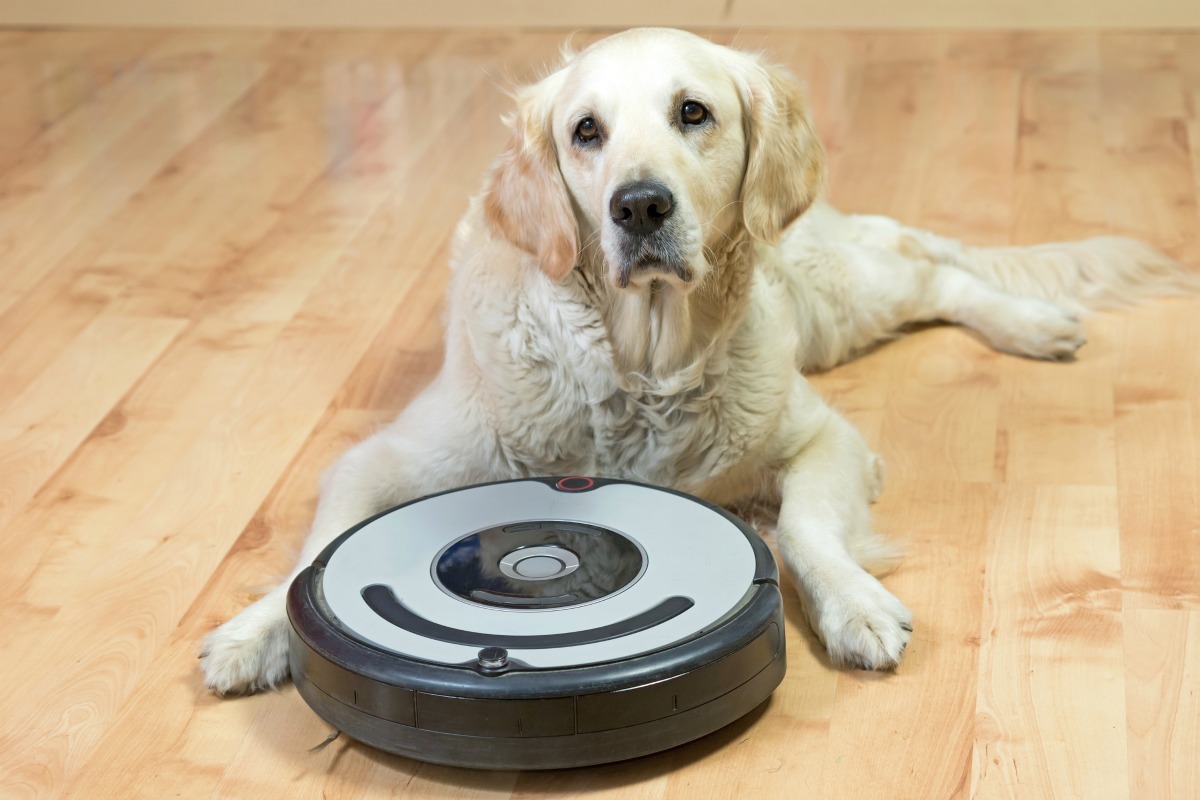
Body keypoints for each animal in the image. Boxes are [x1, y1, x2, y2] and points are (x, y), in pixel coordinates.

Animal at [201, 28, 1195, 695]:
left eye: (694, 113)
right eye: (586, 132)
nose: (640, 206)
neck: (640, 368)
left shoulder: (821, 438)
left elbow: (805, 528)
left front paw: (854, 603)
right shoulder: (385, 458)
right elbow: (316, 553)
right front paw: (256, 632)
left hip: (841, 299)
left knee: (938, 271)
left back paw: (1034, 322)